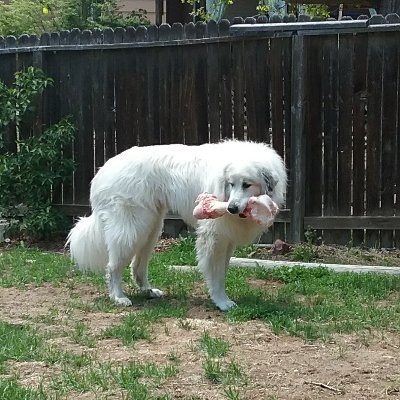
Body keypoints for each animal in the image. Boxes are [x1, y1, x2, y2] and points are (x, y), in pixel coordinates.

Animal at [66, 139, 288, 310]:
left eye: (247, 184)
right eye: (231, 184)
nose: (232, 208)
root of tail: (103, 170)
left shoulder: (227, 239)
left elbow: (223, 270)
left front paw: (221, 298)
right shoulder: (214, 238)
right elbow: (216, 274)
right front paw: (221, 301)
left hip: (151, 228)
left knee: (137, 266)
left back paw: (148, 291)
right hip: (131, 230)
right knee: (113, 267)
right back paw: (118, 297)